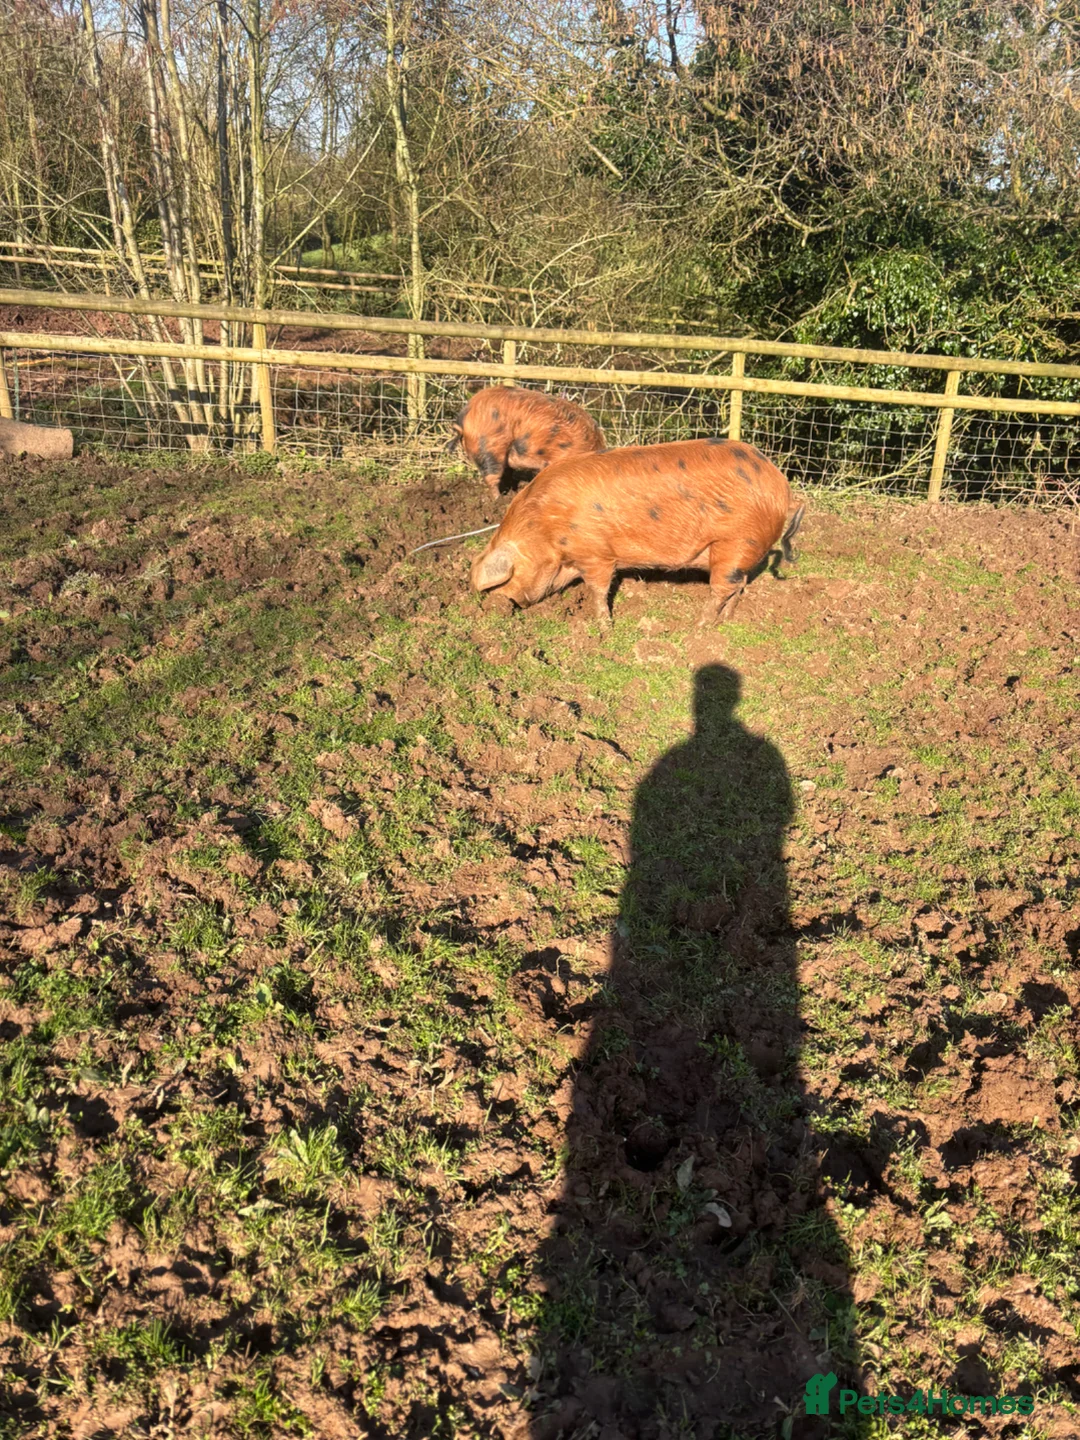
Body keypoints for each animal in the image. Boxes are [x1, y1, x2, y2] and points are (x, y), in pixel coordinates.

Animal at [470, 437, 804, 626]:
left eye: (505, 579)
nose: (502, 606)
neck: (545, 528)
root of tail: (781, 487)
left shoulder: (596, 554)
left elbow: (598, 589)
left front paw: (603, 626)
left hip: (736, 542)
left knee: (724, 588)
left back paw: (699, 628)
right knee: (741, 585)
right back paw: (726, 622)